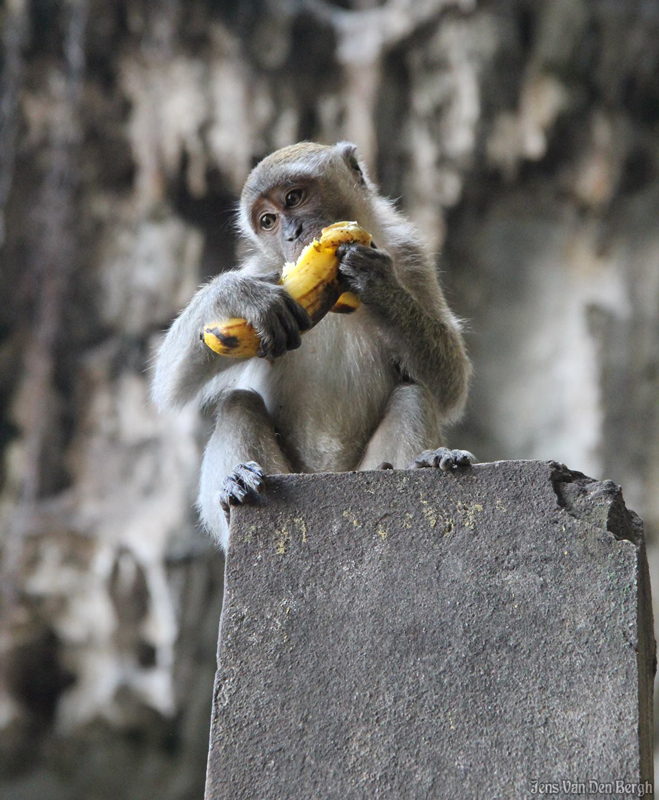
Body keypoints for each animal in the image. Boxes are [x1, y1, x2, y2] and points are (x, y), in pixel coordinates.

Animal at [153, 141, 474, 552]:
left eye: (294, 197)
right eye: (268, 221)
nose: (293, 233)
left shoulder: (411, 254)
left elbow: (450, 386)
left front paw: (379, 284)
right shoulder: (266, 269)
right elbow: (172, 383)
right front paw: (240, 294)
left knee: (413, 394)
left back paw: (426, 462)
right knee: (238, 402)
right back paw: (234, 493)